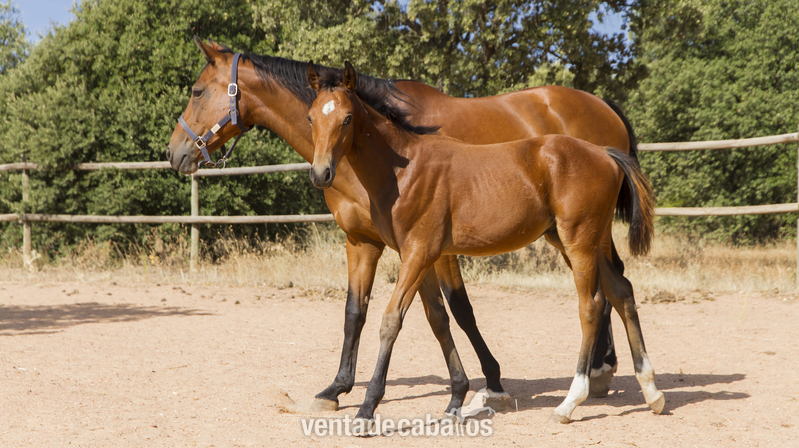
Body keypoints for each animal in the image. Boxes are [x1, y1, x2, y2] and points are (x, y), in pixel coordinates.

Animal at [167, 37, 638, 410]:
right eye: (311, 119)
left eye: (196, 91)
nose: (174, 152)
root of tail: (603, 106)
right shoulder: (362, 241)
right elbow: (357, 312)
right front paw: (337, 388)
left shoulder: (430, 248)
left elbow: (456, 310)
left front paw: (492, 381)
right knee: (610, 285)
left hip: (578, 232)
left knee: (604, 287)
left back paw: (599, 372)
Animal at [305, 62, 664, 424]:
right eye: (310, 117)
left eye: (347, 118)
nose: (321, 174)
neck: (404, 169)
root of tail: (603, 153)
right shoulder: (419, 257)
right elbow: (437, 318)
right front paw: (454, 401)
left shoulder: (419, 253)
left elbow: (392, 321)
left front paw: (367, 408)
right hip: (579, 241)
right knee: (620, 292)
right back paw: (651, 391)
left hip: (579, 242)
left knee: (590, 306)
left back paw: (570, 402)